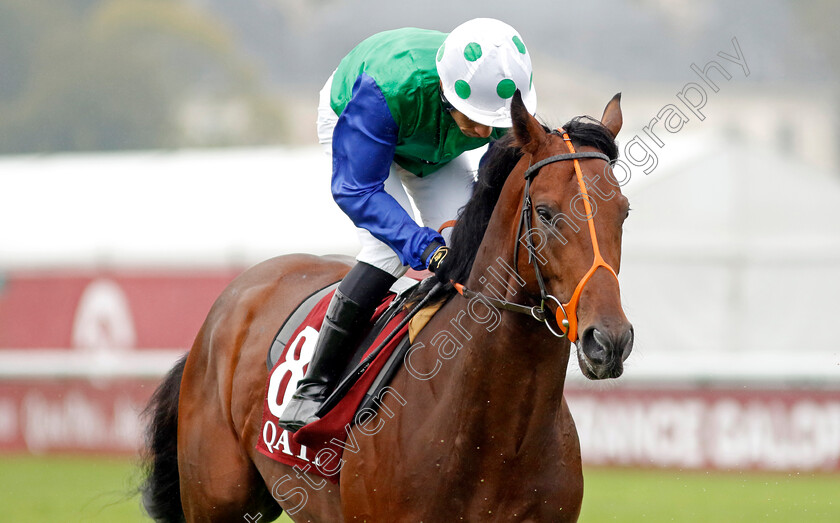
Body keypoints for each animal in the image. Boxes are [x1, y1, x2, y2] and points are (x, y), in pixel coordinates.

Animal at [143, 92, 632, 520]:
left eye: (624, 211)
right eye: (546, 213)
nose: (609, 340)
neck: (494, 434)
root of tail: (235, 294)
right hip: (216, 501)